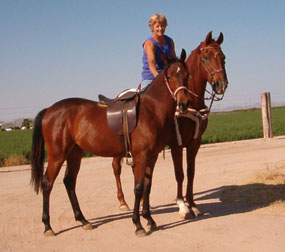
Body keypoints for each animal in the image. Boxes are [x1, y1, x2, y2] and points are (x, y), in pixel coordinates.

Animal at [30, 50, 190, 237]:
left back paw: (83, 220)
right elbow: (138, 188)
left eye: (186, 75)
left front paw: (149, 219)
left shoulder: (152, 157)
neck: (150, 111)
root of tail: (49, 110)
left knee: (69, 182)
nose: (184, 103)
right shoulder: (141, 156)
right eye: (169, 76)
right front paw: (138, 224)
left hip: (74, 153)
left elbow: (147, 187)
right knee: (47, 183)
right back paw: (48, 226)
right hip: (57, 155)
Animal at [110, 31, 227, 217]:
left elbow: (191, 172)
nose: (221, 85)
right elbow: (179, 173)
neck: (190, 102)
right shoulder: (175, 143)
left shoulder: (195, 143)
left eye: (223, 57)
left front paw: (192, 203)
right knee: (116, 168)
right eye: (206, 57)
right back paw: (123, 202)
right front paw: (182, 205)